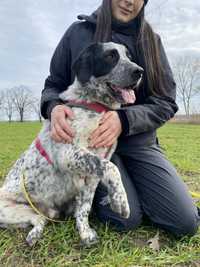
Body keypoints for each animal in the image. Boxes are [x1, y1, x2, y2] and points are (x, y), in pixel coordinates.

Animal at [0, 42, 144, 247]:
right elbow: (112, 168)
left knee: (41, 219)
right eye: (110, 56)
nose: (139, 71)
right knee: (38, 219)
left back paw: (35, 234)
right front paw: (120, 202)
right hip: (7, 211)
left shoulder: (92, 173)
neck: (95, 105)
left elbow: (84, 206)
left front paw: (85, 233)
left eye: (129, 56)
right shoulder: (68, 154)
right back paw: (34, 235)